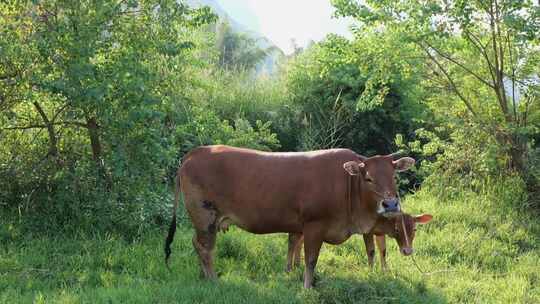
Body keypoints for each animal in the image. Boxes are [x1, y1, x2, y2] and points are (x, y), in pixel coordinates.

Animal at [167, 145, 416, 288]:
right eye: (369, 178)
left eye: (393, 175)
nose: (390, 203)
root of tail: (196, 153)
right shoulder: (314, 226)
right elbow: (310, 260)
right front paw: (307, 287)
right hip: (205, 216)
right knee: (205, 247)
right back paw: (213, 280)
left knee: (198, 244)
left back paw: (202, 276)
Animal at [284, 213, 432, 272]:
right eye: (397, 229)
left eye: (415, 229)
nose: (407, 251)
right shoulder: (367, 231)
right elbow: (371, 250)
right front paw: (371, 271)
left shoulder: (380, 232)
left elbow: (383, 250)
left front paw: (385, 270)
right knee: (293, 241)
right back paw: (290, 268)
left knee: (299, 242)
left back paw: (297, 264)